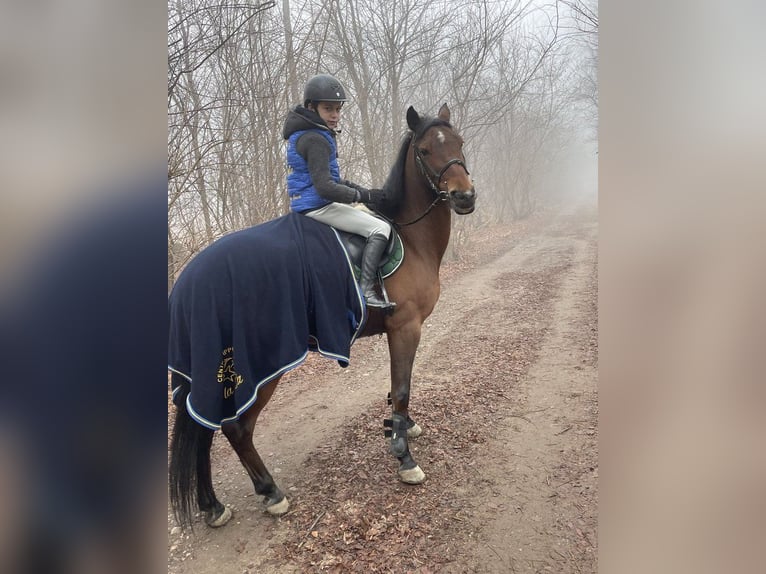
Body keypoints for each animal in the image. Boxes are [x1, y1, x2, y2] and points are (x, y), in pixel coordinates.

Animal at [169, 103, 476, 528]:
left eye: (459, 142)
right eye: (426, 150)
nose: (465, 196)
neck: (409, 238)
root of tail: (188, 280)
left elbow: (398, 386)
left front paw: (403, 427)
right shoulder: (405, 327)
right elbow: (401, 388)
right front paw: (404, 457)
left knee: (205, 429)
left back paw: (212, 505)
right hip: (259, 370)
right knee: (236, 428)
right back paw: (271, 492)